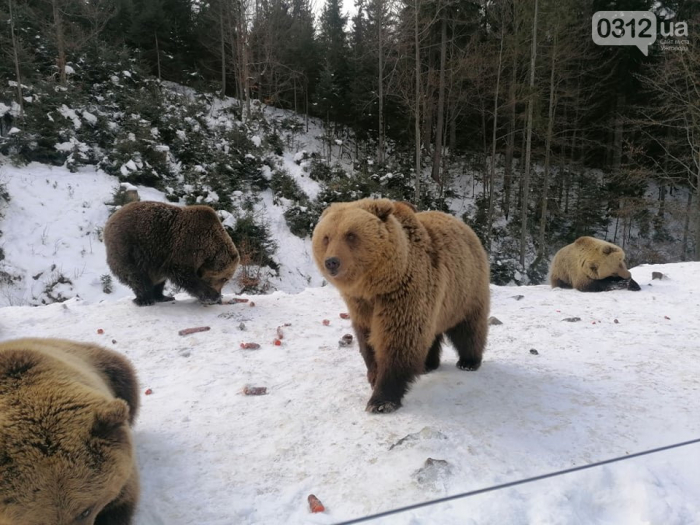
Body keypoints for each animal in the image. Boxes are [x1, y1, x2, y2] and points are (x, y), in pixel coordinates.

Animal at [104, 202, 241, 308]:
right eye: (224, 278)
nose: (219, 291)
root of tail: (110, 219)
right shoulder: (187, 245)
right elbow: (183, 273)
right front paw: (213, 296)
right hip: (129, 248)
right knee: (135, 275)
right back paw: (145, 299)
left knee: (159, 278)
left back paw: (163, 296)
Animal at [314, 198, 490, 414]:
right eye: (326, 237)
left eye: (351, 235)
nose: (332, 262)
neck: (376, 285)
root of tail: (463, 224)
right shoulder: (361, 305)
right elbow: (367, 340)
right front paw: (373, 375)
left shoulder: (404, 293)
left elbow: (399, 341)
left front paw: (381, 400)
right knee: (432, 333)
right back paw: (428, 364)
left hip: (466, 290)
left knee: (469, 328)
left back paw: (468, 361)